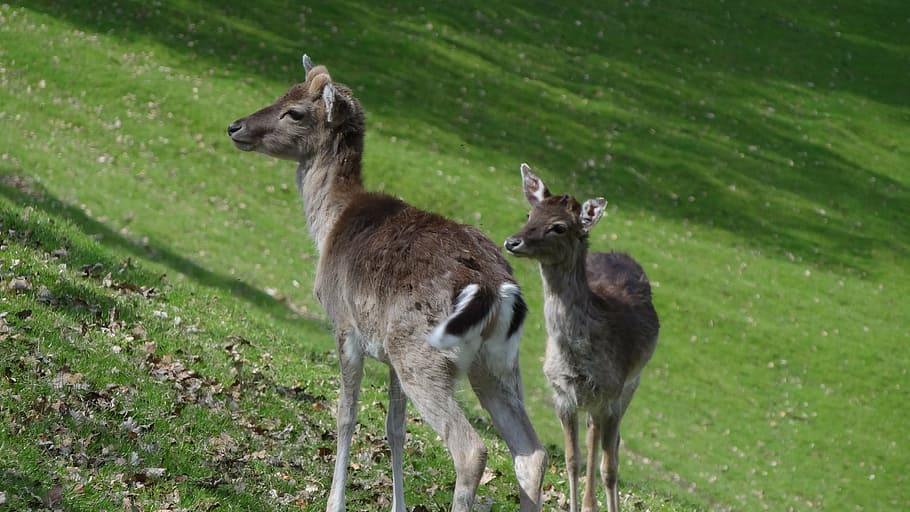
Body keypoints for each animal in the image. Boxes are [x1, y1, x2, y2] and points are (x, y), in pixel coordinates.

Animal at [226, 55, 547, 512]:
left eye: (295, 112)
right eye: (281, 93)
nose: (235, 126)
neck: (329, 226)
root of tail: (495, 289)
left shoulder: (345, 325)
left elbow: (346, 414)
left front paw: (335, 502)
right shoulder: (389, 356)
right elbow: (395, 428)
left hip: (424, 355)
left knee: (471, 448)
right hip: (496, 363)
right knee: (531, 453)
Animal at [503, 163, 659, 512]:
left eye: (559, 227)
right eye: (530, 214)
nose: (512, 241)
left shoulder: (607, 393)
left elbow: (601, 464)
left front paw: (590, 505)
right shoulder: (561, 394)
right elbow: (572, 459)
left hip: (630, 386)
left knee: (609, 454)